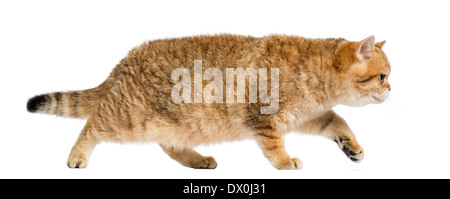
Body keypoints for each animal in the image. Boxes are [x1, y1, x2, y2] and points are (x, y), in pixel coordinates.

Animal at [26, 34, 390, 169]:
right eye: (383, 77)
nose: (391, 90)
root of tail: (124, 62)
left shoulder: (312, 116)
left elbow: (340, 122)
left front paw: (350, 146)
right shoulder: (264, 118)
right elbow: (274, 146)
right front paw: (285, 162)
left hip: (176, 125)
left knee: (169, 145)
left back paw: (198, 160)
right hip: (126, 120)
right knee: (91, 124)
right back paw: (77, 155)